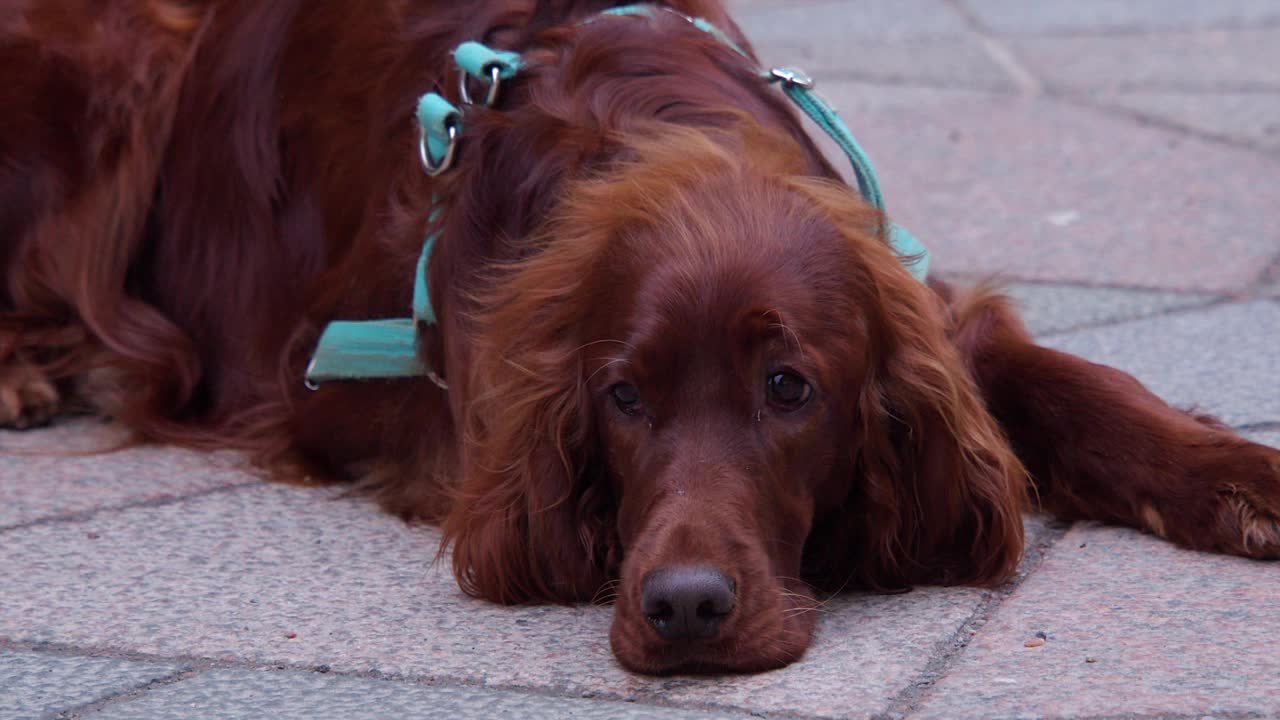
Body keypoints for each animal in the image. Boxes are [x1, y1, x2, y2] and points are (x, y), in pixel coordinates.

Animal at [2, 0, 1280, 671]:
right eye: (622, 398)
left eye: (787, 387)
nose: (685, 611)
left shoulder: (920, 296)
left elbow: (1068, 381)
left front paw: (1233, 476)